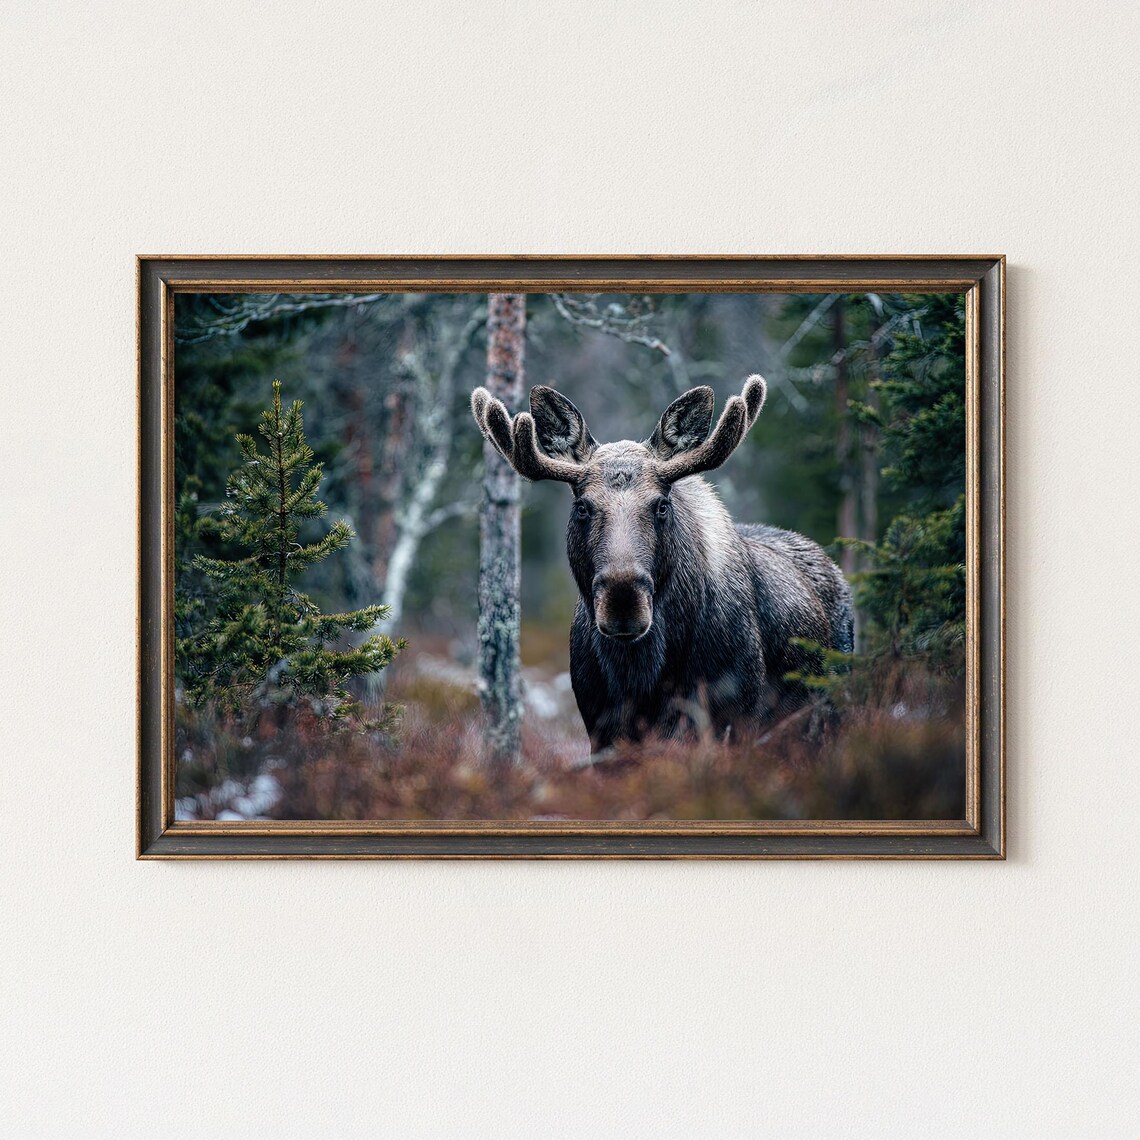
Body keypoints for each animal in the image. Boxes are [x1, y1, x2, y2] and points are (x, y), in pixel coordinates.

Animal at [471, 375, 854, 755]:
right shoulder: (601, 731)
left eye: (661, 505)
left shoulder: (735, 717)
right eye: (582, 507)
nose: (623, 601)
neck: (640, 677)